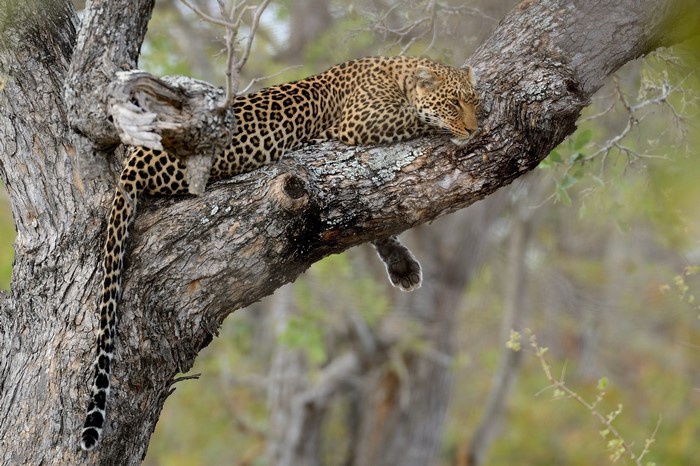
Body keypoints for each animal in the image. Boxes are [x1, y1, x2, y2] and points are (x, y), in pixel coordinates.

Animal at [80, 55, 479, 451]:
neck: (401, 74)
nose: (476, 128)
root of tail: (135, 158)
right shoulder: (360, 124)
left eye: (473, 101)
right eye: (453, 103)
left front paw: (401, 265)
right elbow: (417, 119)